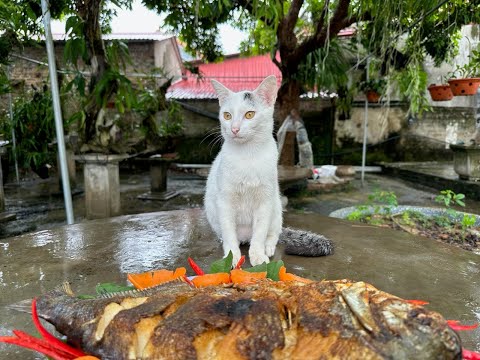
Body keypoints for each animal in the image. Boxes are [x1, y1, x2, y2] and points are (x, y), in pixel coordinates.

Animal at [205, 76, 282, 266]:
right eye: (227, 115)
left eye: (249, 114)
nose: (234, 128)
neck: (248, 155)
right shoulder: (224, 201)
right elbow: (229, 232)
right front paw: (232, 256)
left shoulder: (265, 201)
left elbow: (260, 232)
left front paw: (258, 255)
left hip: (277, 209)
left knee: (273, 233)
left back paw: (268, 247)